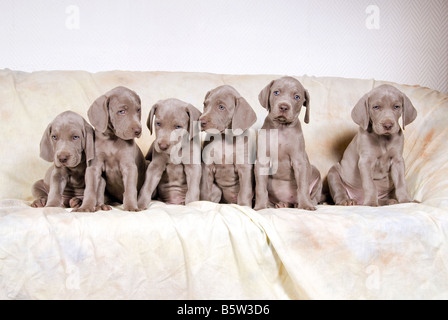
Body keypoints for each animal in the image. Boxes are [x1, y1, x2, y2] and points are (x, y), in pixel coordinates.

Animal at [252, 76, 322, 211]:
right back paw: (281, 204)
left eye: (297, 97)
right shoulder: (262, 160)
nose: (284, 107)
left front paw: (305, 205)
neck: (281, 128)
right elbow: (260, 188)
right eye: (276, 92)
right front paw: (260, 207)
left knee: (313, 196)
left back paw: (302, 203)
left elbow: (303, 186)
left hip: (316, 172)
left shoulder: (300, 161)